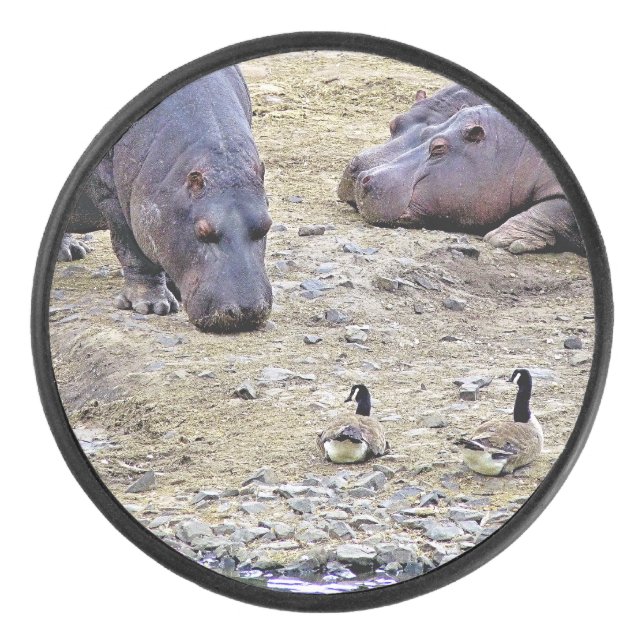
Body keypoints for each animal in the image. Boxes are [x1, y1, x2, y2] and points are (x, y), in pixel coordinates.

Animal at [63, 66, 272, 332]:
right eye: (202, 230)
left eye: (267, 225)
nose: (246, 311)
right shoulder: (114, 199)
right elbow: (132, 249)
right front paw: (152, 306)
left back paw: (72, 252)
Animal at [340, 92, 583, 255]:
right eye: (429, 131)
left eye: (438, 148)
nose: (363, 177)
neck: (511, 148)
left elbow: (555, 209)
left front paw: (501, 237)